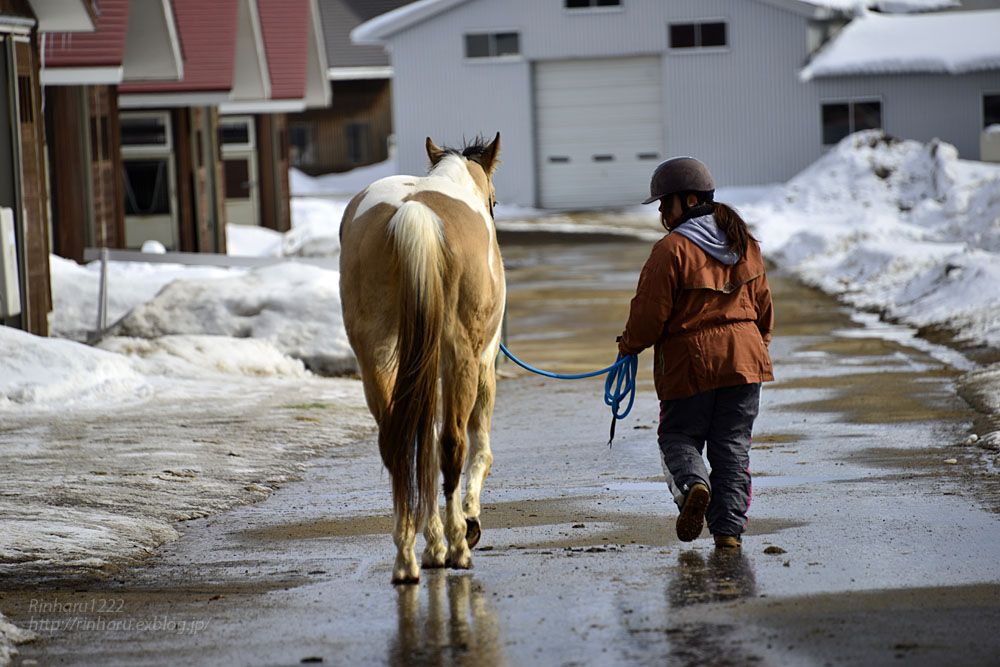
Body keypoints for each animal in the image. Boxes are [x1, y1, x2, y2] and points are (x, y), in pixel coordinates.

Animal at [338, 134, 508, 584]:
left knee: (398, 444)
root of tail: (413, 213)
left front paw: (432, 541)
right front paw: (468, 523)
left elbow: (422, 445)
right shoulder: (483, 365)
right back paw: (457, 548)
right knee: (452, 444)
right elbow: (478, 449)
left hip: (377, 357)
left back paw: (408, 557)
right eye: (495, 200)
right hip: (461, 358)